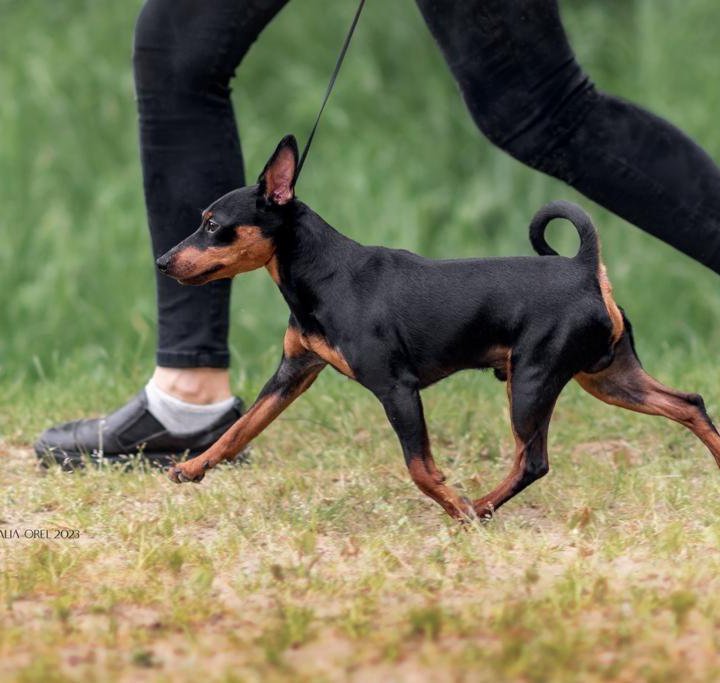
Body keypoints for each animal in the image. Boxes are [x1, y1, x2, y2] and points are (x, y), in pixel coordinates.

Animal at [156, 136, 720, 520]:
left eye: (212, 225)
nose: (162, 261)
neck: (326, 274)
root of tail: (586, 268)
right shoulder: (293, 373)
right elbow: (239, 429)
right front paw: (194, 466)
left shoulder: (397, 389)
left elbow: (420, 468)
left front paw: (454, 504)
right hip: (607, 378)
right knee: (687, 403)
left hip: (532, 382)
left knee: (532, 461)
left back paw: (481, 506)